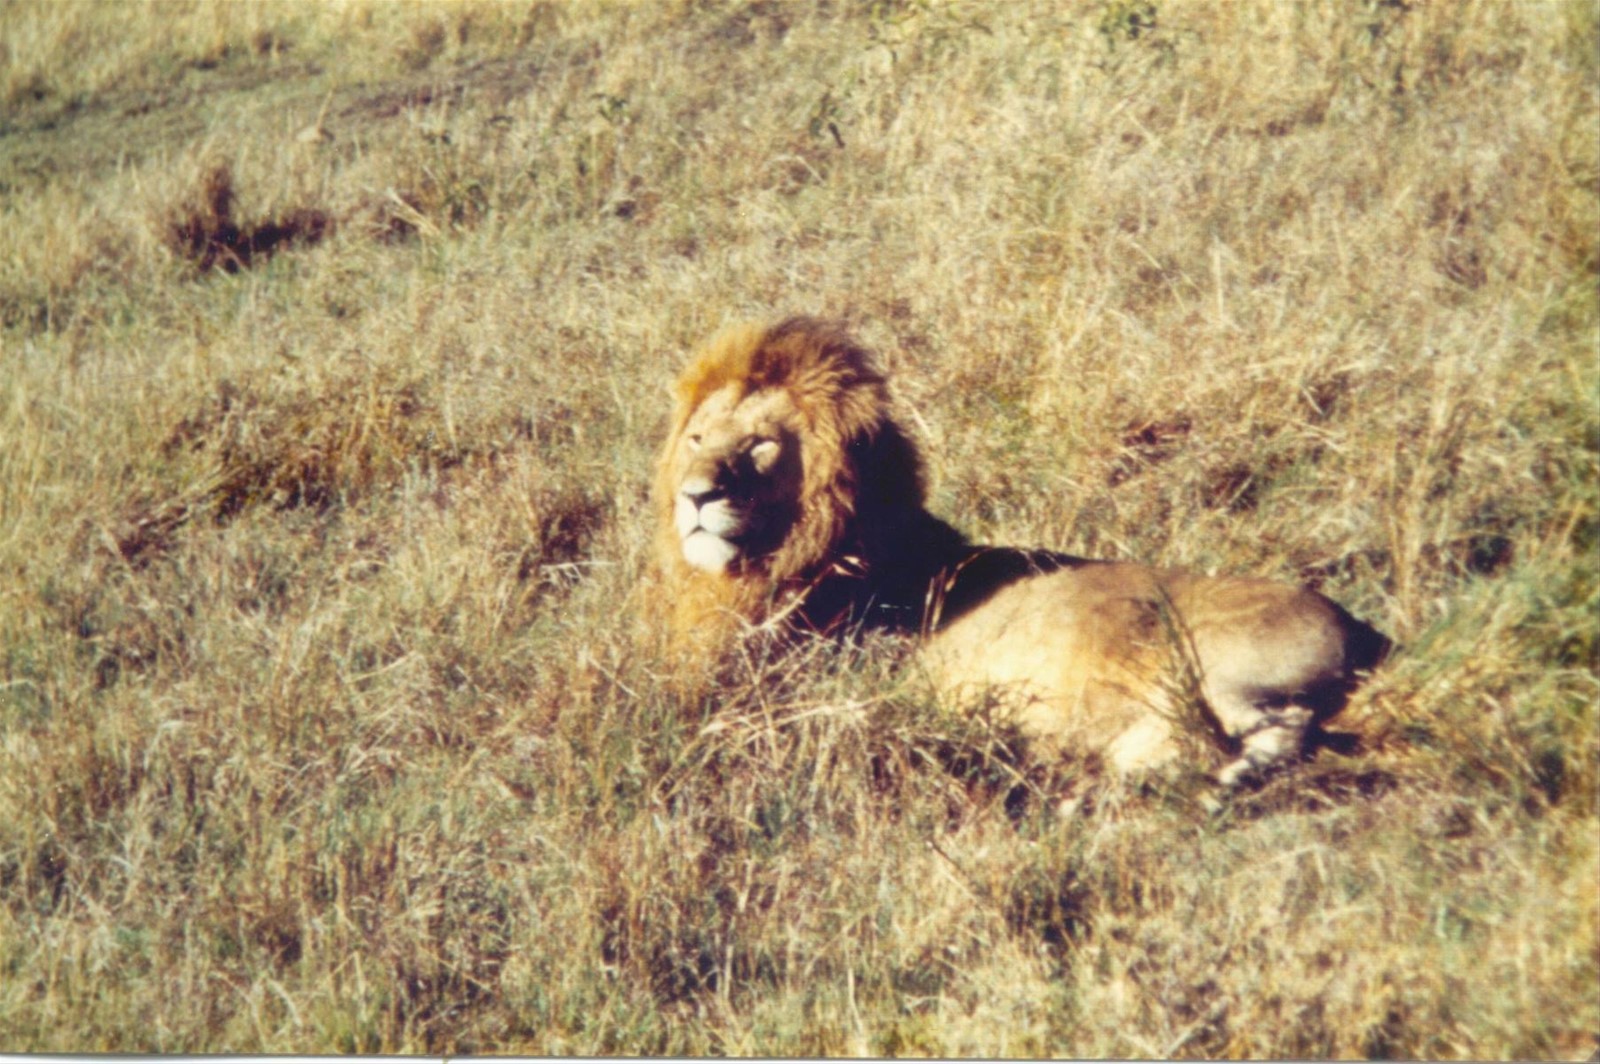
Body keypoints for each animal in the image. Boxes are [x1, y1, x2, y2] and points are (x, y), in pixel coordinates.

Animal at [653, 317, 1390, 786]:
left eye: (759, 445)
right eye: (697, 439)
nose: (695, 496)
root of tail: (1361, 630)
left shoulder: (806, 691)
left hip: (1199, 655)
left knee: (1265, 724)